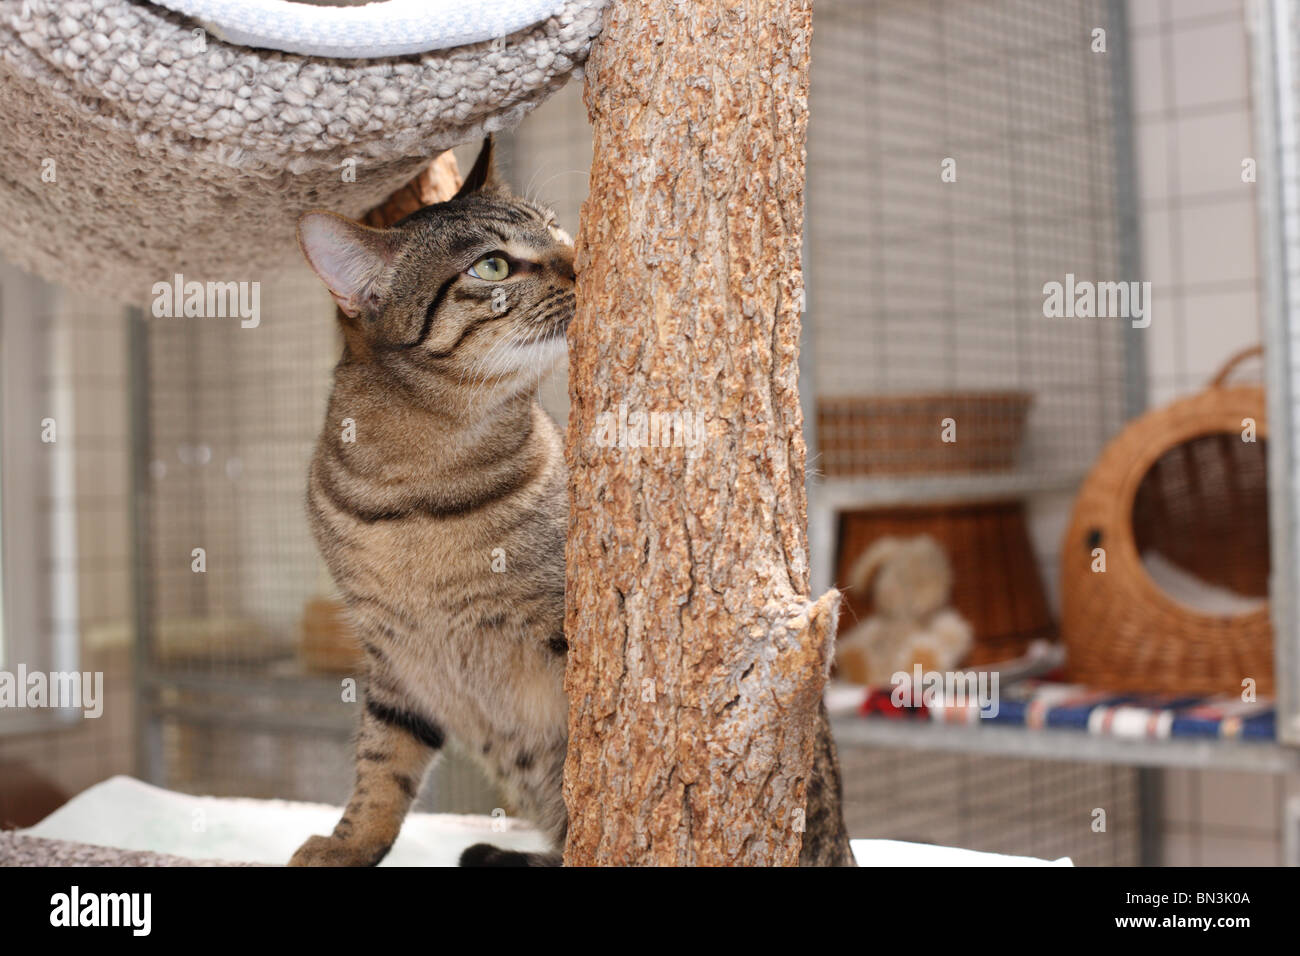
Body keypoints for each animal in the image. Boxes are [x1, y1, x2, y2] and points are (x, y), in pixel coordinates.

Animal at [288, 141, 852, 868]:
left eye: (555, 229)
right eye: (493, 265)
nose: (582, 255)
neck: (417, 493)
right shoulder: (393, 663)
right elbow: (381, 768)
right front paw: (346, 845)